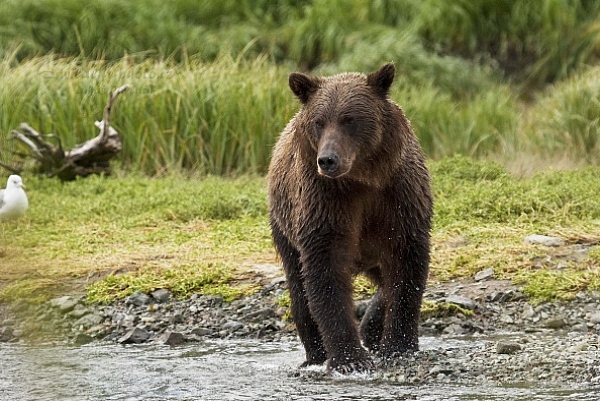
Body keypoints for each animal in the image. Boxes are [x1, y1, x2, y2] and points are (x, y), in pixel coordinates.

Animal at [268, 62, 432, 372]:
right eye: (319, 121)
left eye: (349, 119)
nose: (327, 160)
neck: (362, 179)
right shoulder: (325, 201)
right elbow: (325, 272)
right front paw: (350, 358)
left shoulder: (399, 195)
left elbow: (407, 264)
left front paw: (399, 346)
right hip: (284, 227)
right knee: (299, 288)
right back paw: (316, 353)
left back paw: (372, 327)